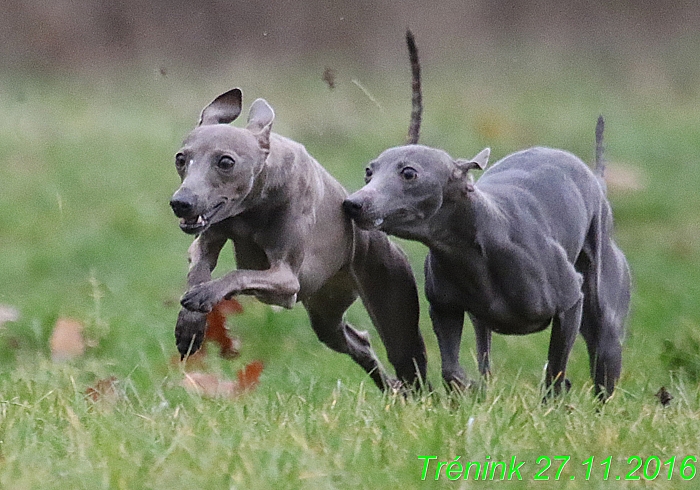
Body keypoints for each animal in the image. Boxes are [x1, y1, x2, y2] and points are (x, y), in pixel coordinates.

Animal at [167, 88, 426, 392]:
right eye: (181, 158)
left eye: (226, 162)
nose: (181, 203)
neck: (252, 207)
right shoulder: (205, 240)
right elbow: (199, 269)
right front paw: (190, 325)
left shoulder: (286, 281)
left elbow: (239, 274)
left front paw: (206, 295)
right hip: (326, 316)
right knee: (359, 343)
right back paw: (392, 389)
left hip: (393, 307)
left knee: (410, 362)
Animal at [344, 117, 628, 398]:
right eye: (369, 171)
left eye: (409, 173)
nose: (352, 204)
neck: (472, 251)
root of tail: (597, 181)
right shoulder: (444, 309)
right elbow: (450, 370)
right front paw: (468, 388)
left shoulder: (570, 302)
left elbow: (555, 370)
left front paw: (552, 401)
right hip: (482, 325)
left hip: (605, 325)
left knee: (603, 371)